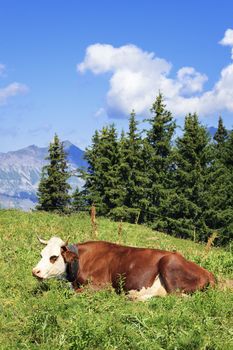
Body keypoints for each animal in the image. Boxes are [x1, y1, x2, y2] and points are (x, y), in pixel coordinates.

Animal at [31, 235, 216, 300]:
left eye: (54, 257)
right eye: (41, 254)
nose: (35, 271)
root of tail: (208, 272)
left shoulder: (103, 286)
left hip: (169, 263)